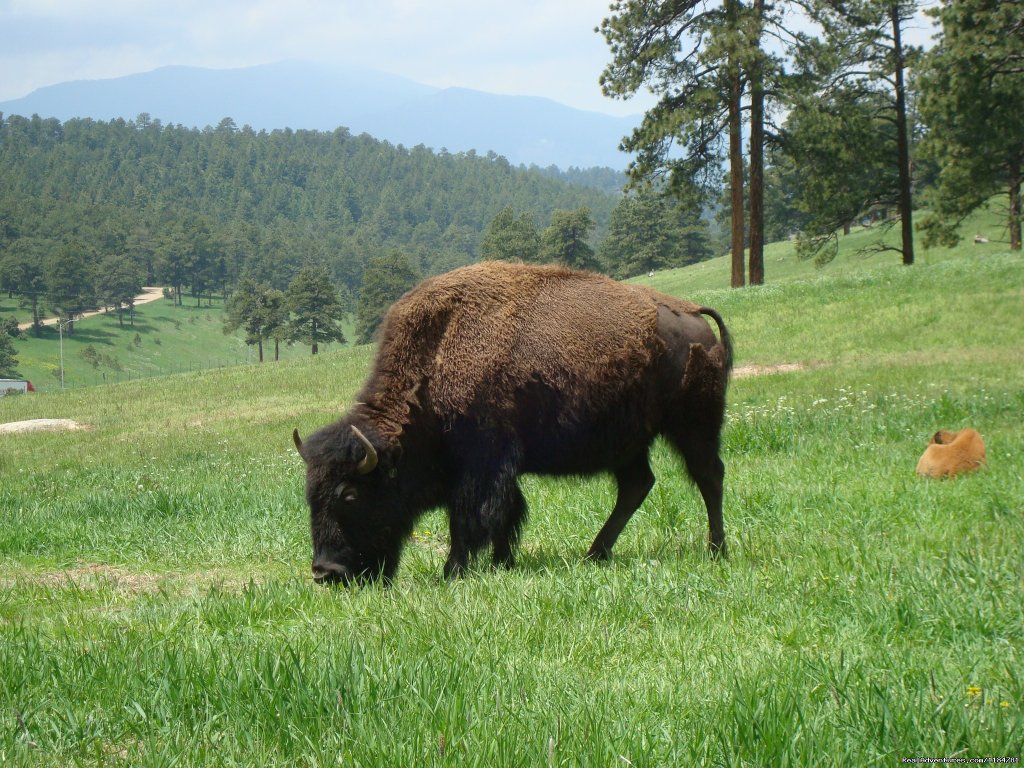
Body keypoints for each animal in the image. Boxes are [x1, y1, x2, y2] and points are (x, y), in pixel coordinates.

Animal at [292, 262, 733, 585]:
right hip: (629, 443)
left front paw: (453, 572)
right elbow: (507, 513)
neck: (435, 356)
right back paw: (595, 554)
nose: (325, 572)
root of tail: (694, 315)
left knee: (708, 476)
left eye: (350, 495)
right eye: (310, 495)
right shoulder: (495, 469)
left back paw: (716, 551)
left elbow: (471, 518)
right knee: (637, 485)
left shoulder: (483, 465)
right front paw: (502, 562)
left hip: (694, 425)